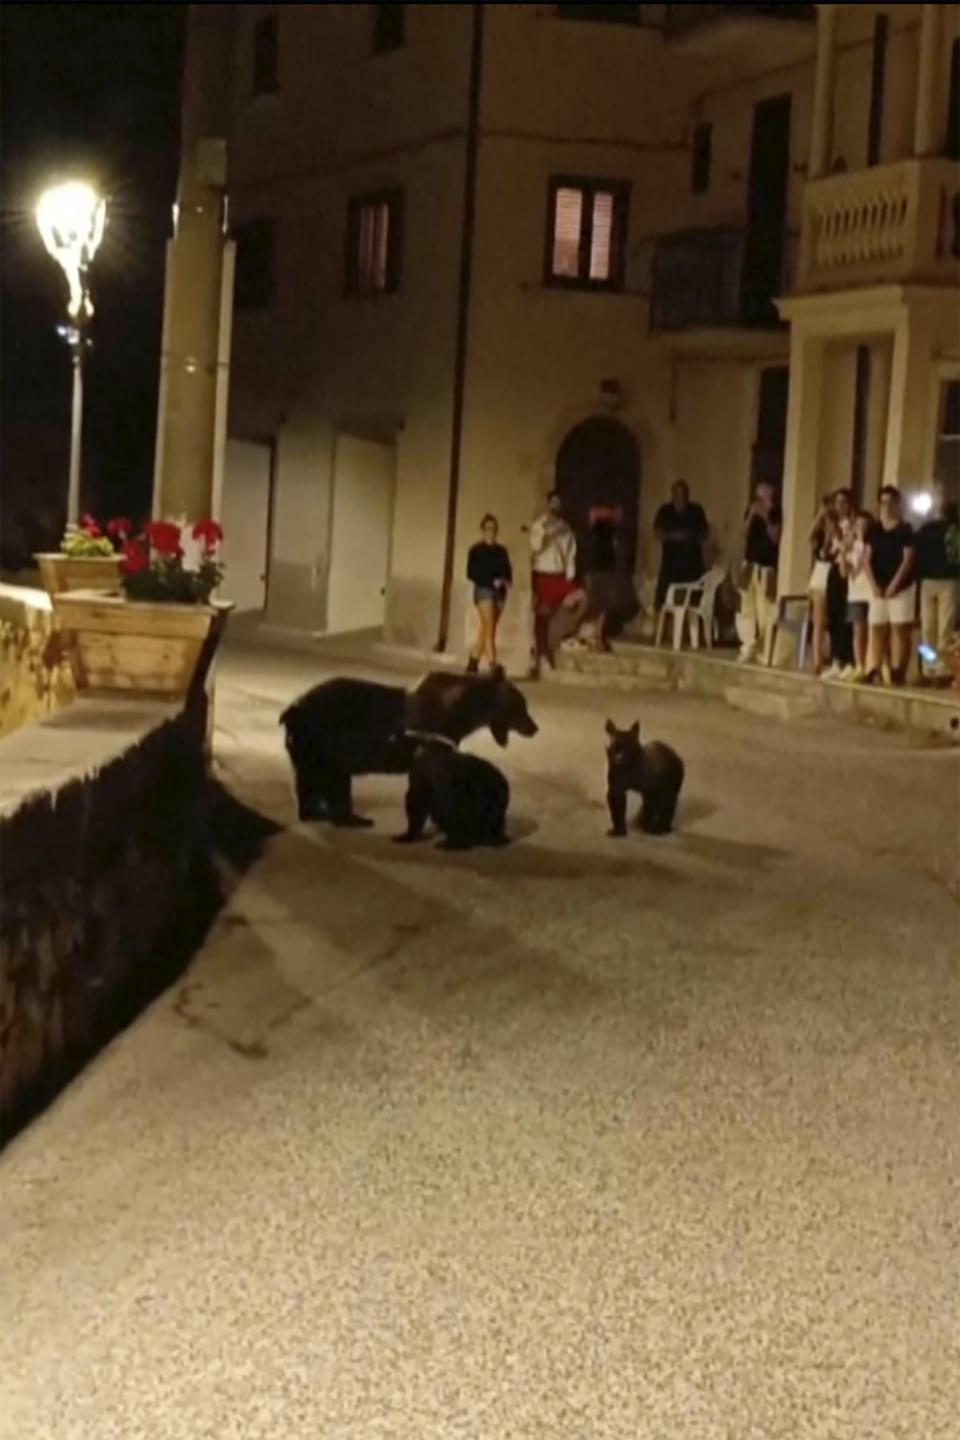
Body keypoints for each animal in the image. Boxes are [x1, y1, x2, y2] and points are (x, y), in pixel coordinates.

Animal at [279, 665, 541, 829]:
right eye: (522, 705)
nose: (535, 727)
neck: (462, 712)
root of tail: (291, 711)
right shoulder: (433, 733)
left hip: (313, 747)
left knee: (311, 780)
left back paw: (317, 812)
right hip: (324, 739)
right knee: (332, 781)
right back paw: (351, 818)